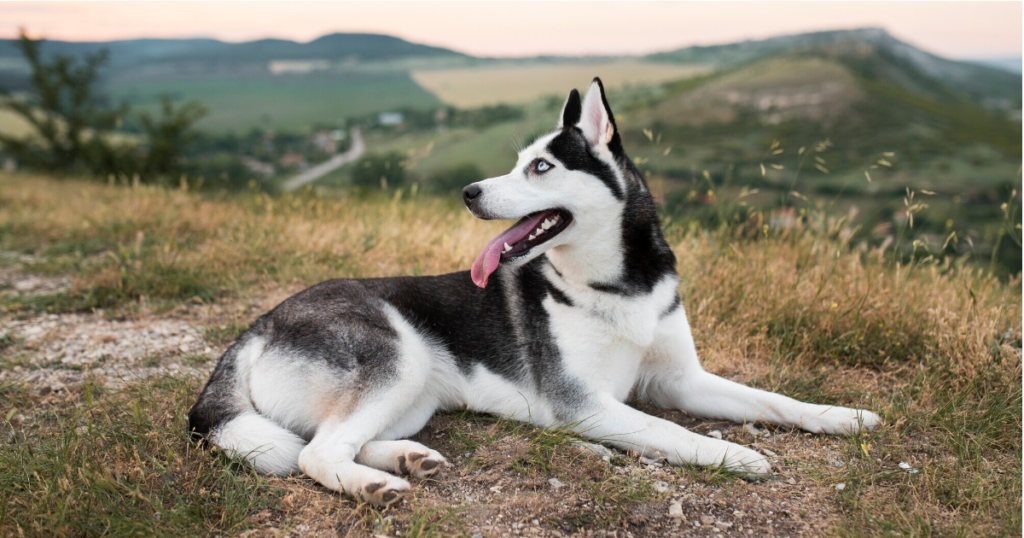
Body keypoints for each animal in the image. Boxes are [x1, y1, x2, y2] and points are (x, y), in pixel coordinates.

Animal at [190, 77, 880, 506]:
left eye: (540, 167)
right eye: (519, 162)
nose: (468, 191)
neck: (617, 283)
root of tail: (259, 325)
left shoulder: (681, 380)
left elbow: (771, 399)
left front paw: (843, 417)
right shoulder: (585, 405)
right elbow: (670, 432)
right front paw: (734, 455)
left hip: (413, 393)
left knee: (330, 438)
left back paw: (406, 458)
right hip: (396, 356)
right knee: (314, 454)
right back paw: (373, 486)